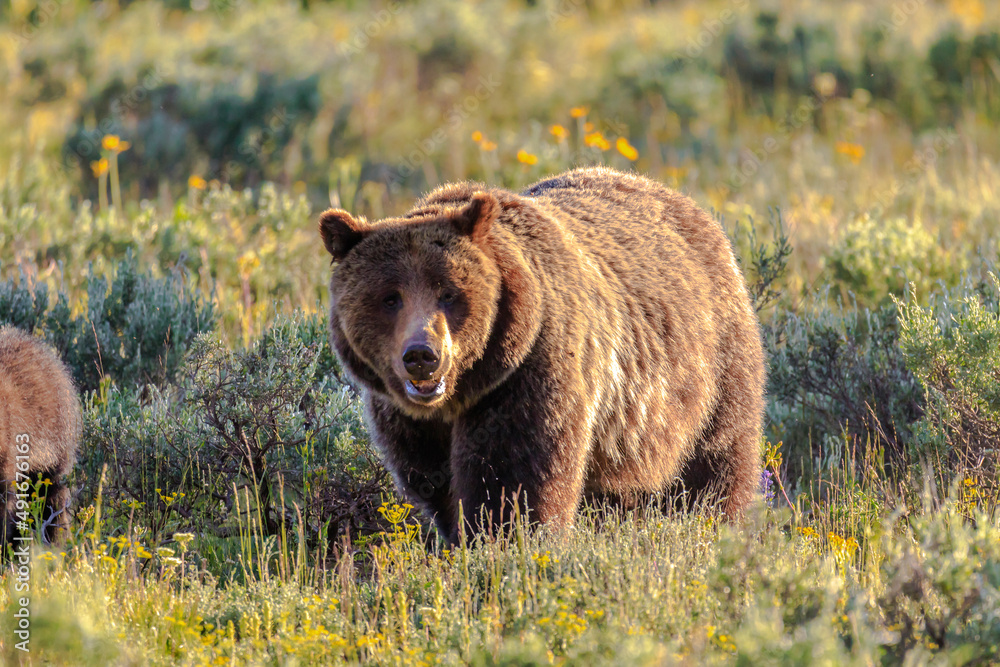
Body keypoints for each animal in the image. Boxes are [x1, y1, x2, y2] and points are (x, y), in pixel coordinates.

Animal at [318, 167, 765, 543]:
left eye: (449, 292)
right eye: (389, 297)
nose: (422, 355)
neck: (462, 393)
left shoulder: (528, 373)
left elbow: (513, 479)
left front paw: (505, 542)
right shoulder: (410, 423)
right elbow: (435, 481)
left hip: (711, 362)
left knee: (716, 459)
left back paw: (712, 524)